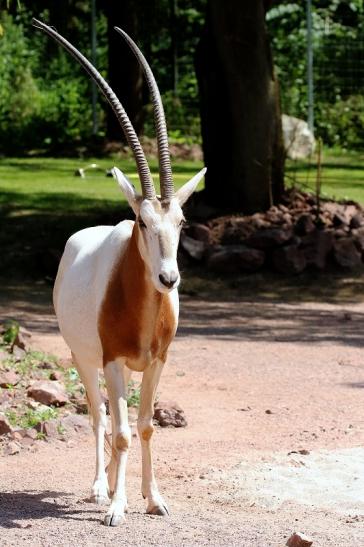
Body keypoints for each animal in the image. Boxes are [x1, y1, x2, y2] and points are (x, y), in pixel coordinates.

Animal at [32, 20, 206, 528]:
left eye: (181, 221)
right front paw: (115, 509)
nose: (169, 280)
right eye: (143, 223)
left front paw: (153, 499)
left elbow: (145, 427)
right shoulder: (110, 360)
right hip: (84, 358)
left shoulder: (158, 361)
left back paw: (112, 483)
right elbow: (123, 429)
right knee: (99, 416)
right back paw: (98, 487)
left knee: (118, 421)